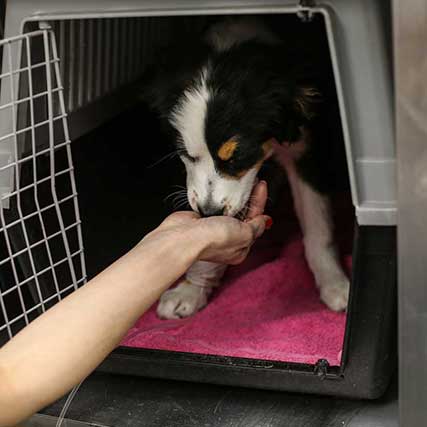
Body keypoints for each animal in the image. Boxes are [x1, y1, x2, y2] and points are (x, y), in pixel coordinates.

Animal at [144, 16, 352, 320]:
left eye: (237, 157)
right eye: (186, 155)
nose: (209, 212)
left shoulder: (305, 147)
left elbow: (317, 224)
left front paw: (335, 284)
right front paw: (192, 291)